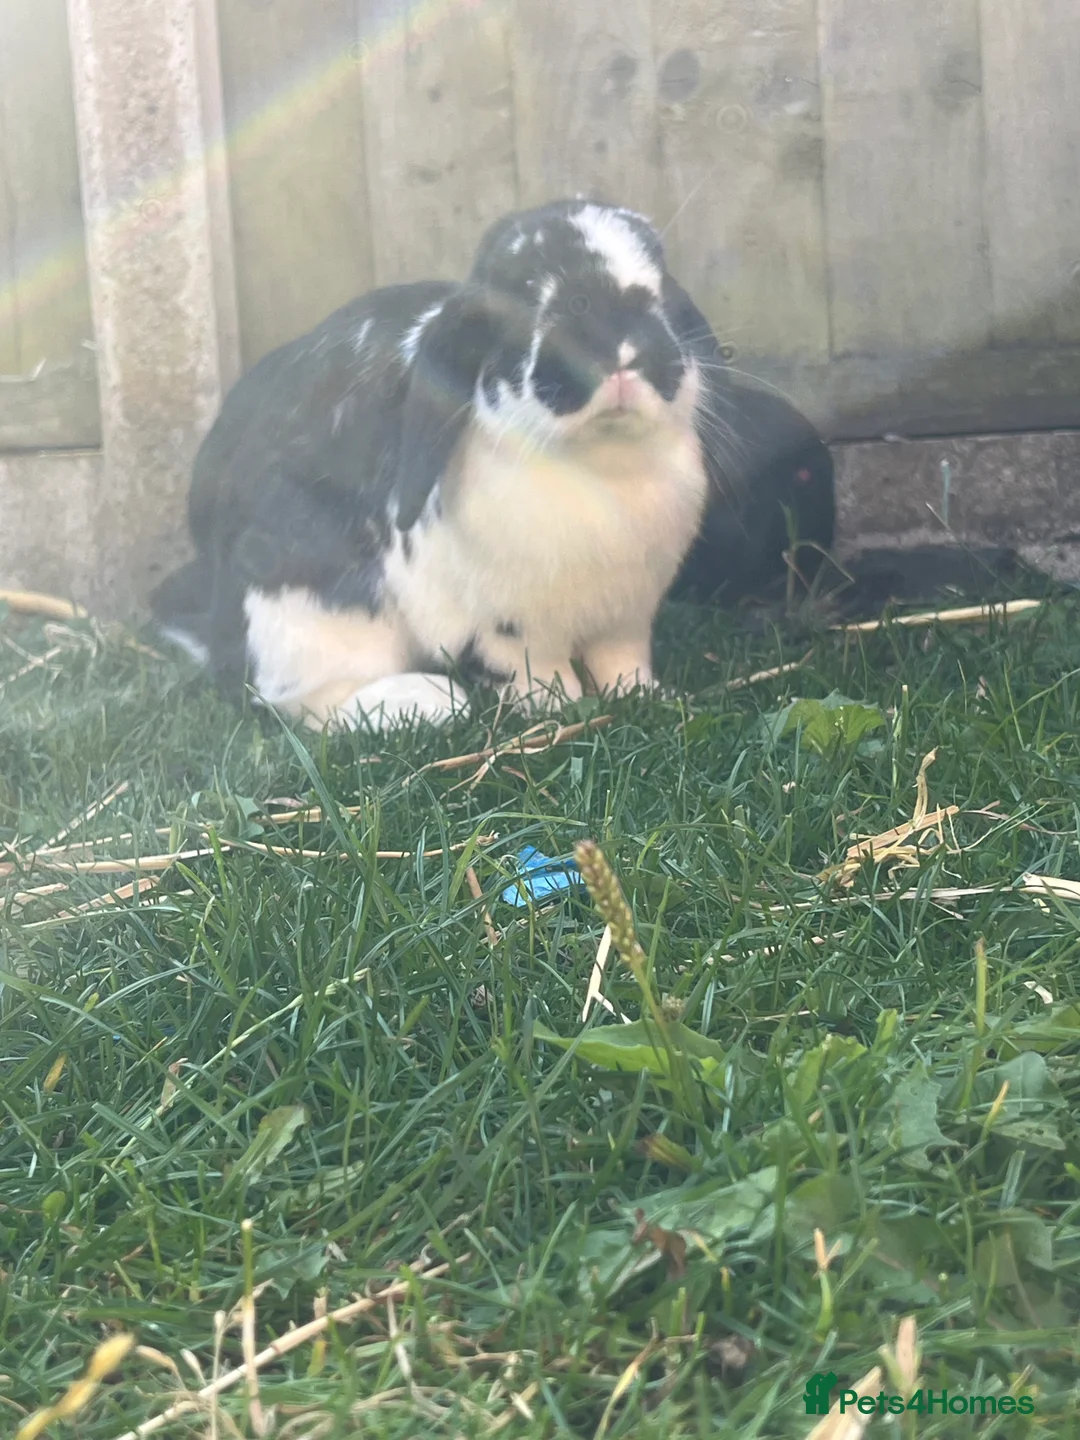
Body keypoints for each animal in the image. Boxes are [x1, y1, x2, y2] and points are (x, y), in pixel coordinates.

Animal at [152, 198, 761, 730]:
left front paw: (652, 699)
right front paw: (560, 715)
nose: (620, 349)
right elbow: (536, 675)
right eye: (522, 298)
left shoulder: (626, 617)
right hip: (307, 613)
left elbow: (622, 664)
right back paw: (428, 702)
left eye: (660, 282)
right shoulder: (507, 628)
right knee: (302, 703)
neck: (600, 465)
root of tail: (216, 625)